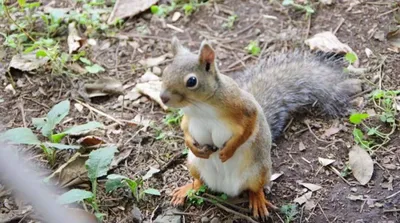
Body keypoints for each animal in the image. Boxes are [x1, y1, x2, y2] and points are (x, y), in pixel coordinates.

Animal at [159, 37, 362, 220]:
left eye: (191, 81)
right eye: (165, 71)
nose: (163, 97)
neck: (200, 106)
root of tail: (226, 188)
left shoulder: (243, 106)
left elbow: (250, 125)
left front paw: (229, 151)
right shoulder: (188, 118)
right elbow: (184, 128)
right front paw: (192, 145)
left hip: (259, 171)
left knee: (255, 189)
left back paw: (258, 201)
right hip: (194, 165)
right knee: (199, 182)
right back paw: (187, 189)